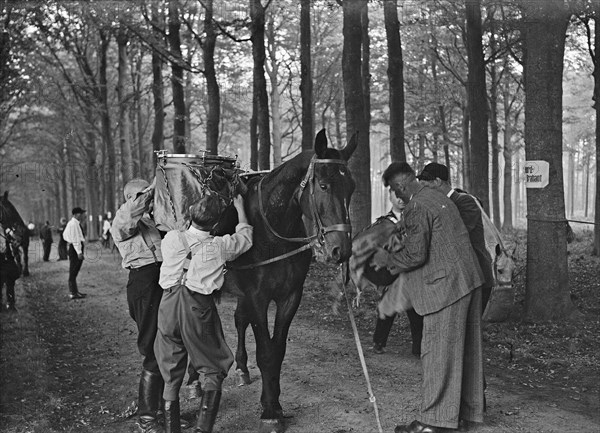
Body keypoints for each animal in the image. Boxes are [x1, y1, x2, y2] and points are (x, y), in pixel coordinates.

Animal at [224, 130, 356, 430]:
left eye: (352, 188)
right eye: (323, 185)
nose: (340, 249)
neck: (272, 232)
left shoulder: (290, 297)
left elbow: (278, 351)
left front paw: (274, 403)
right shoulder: (257, 297)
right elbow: (265, 351)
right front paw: (270, 413)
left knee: (239, 319)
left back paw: (241, 368)